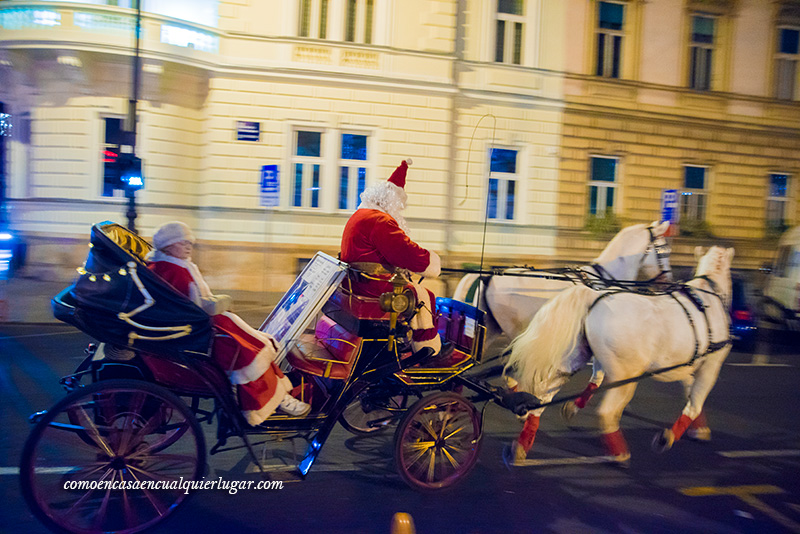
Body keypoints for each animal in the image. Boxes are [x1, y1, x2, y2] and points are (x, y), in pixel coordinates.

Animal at [454, 222, 672, 418]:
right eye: (664, 251)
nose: (668, 281)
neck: (602, 281)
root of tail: (488, 276)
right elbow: (599, 374)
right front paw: (573, 406)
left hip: (490, 329)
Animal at [506, 248, 732, 468]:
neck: (706, 297)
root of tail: (592, 297)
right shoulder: (711, 364)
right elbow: (695, 401)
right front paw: (668, 437)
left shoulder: (682, 364)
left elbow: (690, 390)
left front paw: (699, 429)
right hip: (626, 377)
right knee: (607, 412)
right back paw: (620, 454)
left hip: (571, 360)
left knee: (542, 399)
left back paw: (521, 446)